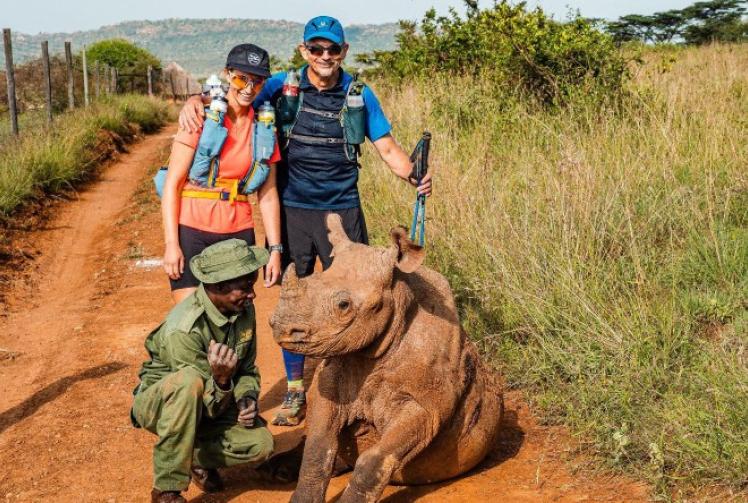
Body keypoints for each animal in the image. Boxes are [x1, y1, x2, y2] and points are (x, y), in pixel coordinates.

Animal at [269, 214, 503, 503]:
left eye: (344, 305)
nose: (282, 328)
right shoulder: (331, 384)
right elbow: (318, 446)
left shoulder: (427, 408)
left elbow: (374, 459)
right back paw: (276, 471)